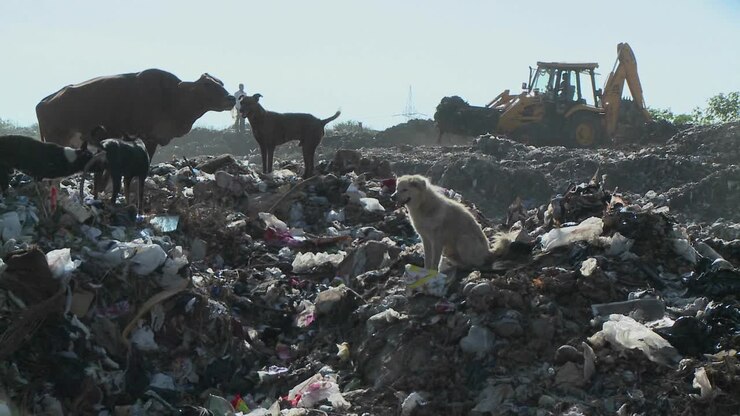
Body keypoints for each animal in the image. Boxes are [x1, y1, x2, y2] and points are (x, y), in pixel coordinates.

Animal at [35, 69, 236, 158]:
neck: (173, 98)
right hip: (56, 139)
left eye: (221, 82)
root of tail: (43, 102)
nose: (232, 98)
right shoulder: (148, 138)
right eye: (207, 84)